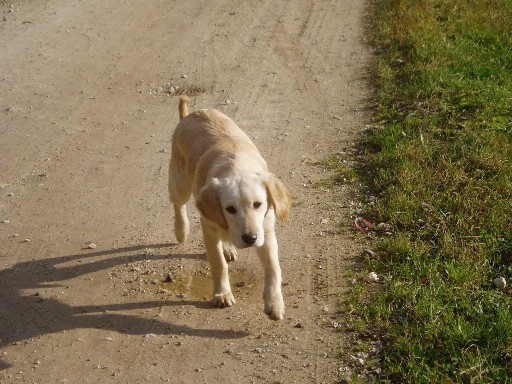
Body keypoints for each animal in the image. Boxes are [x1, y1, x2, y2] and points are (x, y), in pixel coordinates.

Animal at [167, 96, 290, 320]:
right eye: (230, 209)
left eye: (258, 204)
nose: (250, 239)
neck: (237, 166)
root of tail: (189, 115)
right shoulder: (208, 229)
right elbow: (218, 264)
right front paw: (222, 294)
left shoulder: (266, 232)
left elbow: (273, 268)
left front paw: (275, 303)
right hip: (180, 184)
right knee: (178, 204)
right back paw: (181, 230)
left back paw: (228, 248)